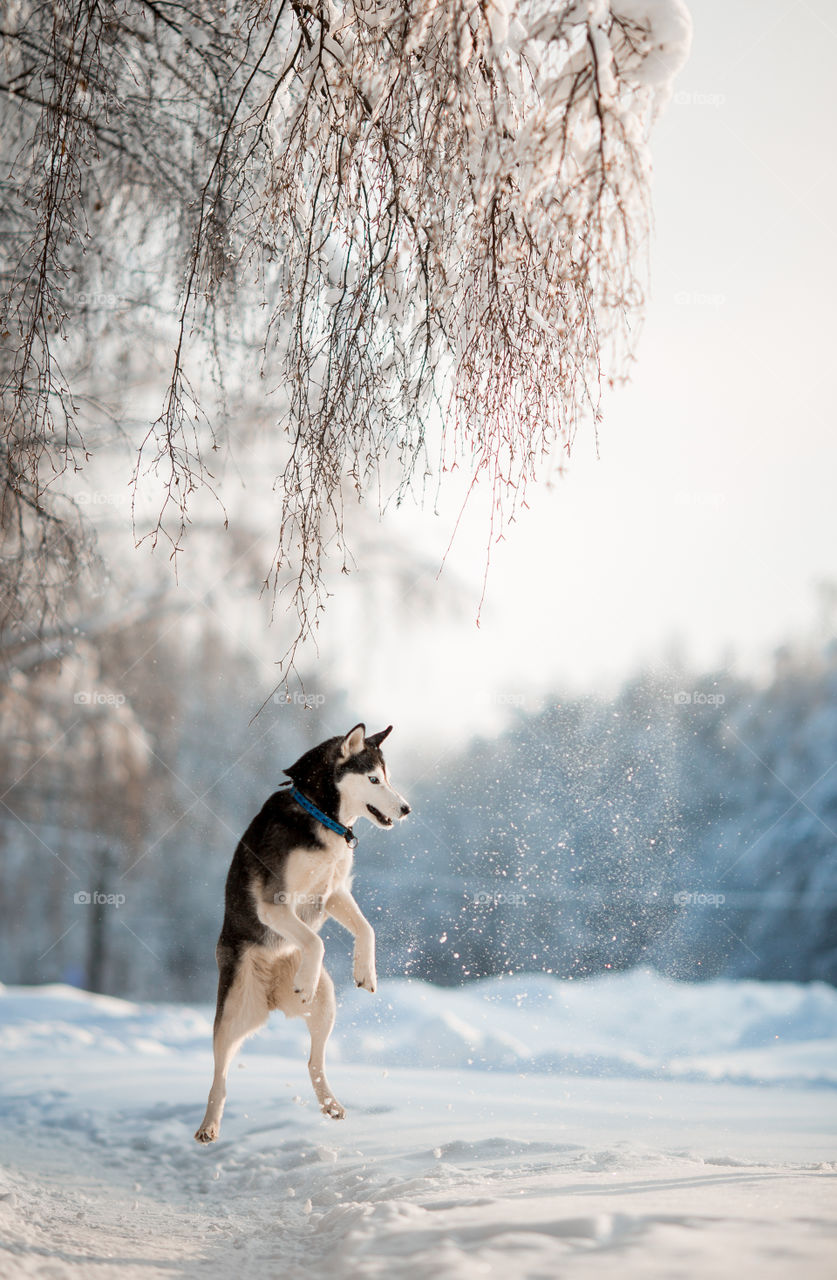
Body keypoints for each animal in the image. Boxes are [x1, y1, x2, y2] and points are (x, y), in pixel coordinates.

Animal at [193, 727, 409, 1146]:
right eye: (373, 779)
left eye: (387, 777)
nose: (406, 809)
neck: (321, 815)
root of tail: (271, 997)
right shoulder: (273, 904)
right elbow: (316, 940)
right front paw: (306, 980)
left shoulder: (334, 892)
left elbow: (366, 928)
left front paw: (365, 971)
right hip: (232, 1010)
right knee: (219, 1075)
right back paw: (209, 1124)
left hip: (327, 1005)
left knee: (313, 1061)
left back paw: (331, 1103)